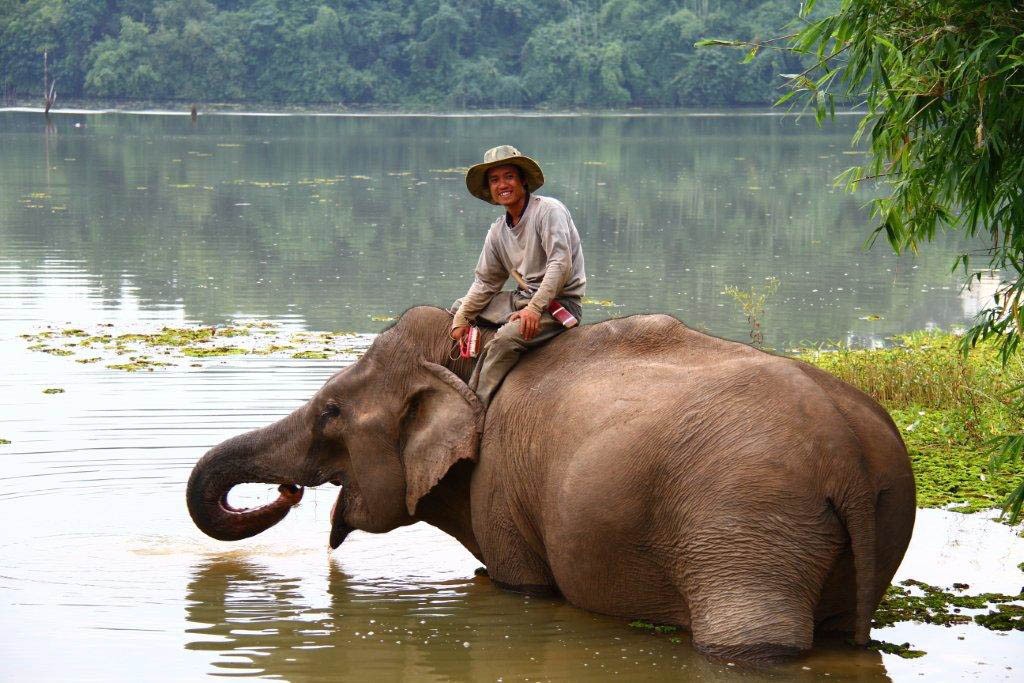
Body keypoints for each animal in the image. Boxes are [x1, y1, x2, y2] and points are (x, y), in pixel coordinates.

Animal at [188, 309, 917, 663]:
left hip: (747, 530)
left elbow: (521, 586)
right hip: (872, 523)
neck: (472, 357)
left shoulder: (499, 490)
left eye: (331, 412)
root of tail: (851, 458)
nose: (285, 493)